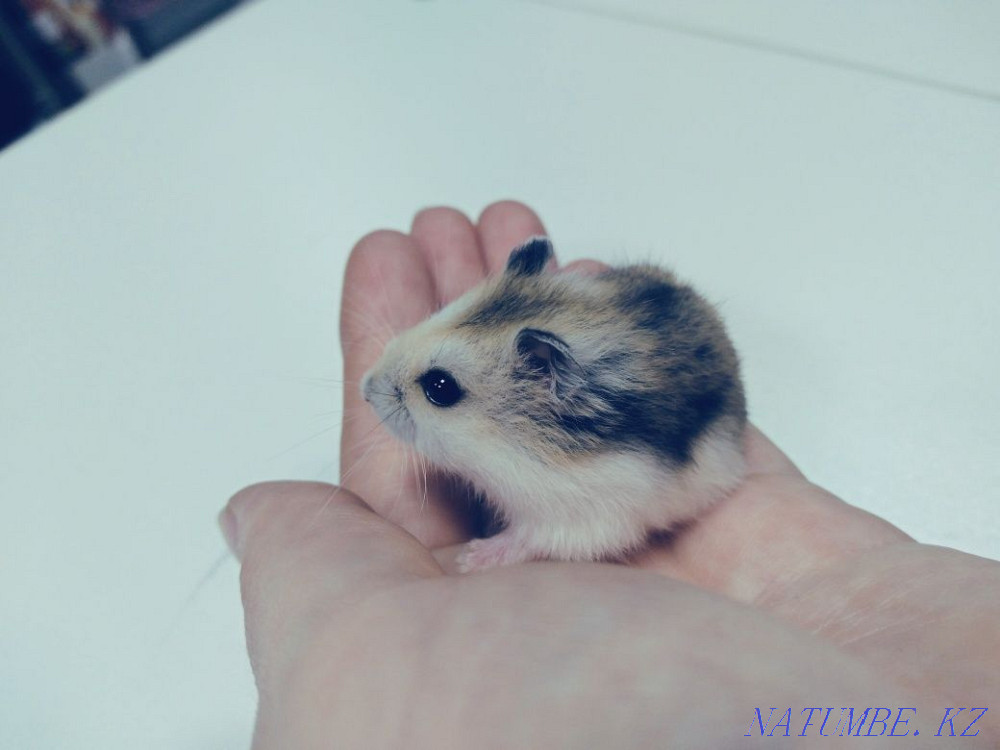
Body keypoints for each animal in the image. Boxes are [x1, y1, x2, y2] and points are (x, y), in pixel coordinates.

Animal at [361, 237, 747, 572]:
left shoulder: (581, 514)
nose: (365, 389)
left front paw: (470, 558)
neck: (505, 441)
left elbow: (528, 538)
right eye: (437, 314)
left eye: (440, 388)